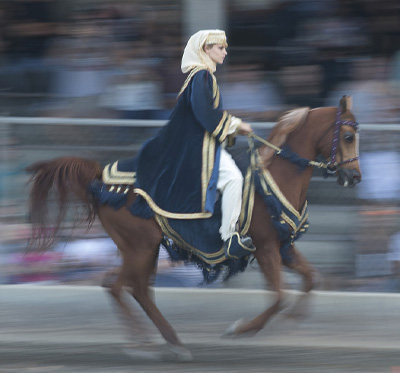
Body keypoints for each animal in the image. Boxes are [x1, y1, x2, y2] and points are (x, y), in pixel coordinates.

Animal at [26, 96, 360, 358]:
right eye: (347, 136)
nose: (354, 177)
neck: (275, 180)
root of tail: (101, 180)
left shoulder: (283, 247)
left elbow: (311, 279)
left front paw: (293, 319)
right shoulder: (266, 248)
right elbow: (279, 296)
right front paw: (241, 329)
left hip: (141, 250)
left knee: (130, 288)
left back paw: (167, 341)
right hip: (140, 247)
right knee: (123, 287)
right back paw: (148, 344)